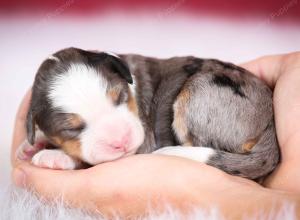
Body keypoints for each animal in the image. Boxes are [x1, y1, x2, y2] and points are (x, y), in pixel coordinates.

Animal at [19, 47, 280, 180]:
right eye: (72, 128)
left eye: (120, 98)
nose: (121, 141)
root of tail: (270, 125)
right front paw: (33, 144)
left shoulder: (144, 141)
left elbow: (89, 161)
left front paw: (55, 156)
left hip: (198, 93)